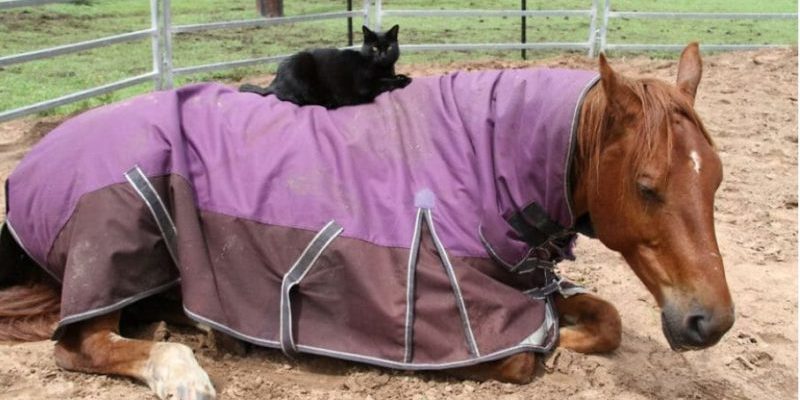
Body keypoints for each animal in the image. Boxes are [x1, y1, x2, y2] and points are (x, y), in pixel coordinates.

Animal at [0, 42, 736, 398]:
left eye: (717, 179)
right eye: (647, 187)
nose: (712, 323)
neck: (485, 156)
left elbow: (605, 321)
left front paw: (573, 328)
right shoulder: (453, 317)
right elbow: (525, 356)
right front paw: (554, 341)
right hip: (115, 238)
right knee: (80, 343)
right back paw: (184, 371)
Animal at [241, 25, 410, 108]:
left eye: (389, 48)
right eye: (374, 48)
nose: (382, 55)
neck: (383, 69)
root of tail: (274, 82)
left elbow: (391, 77)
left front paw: (401, 76)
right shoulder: (365, 85)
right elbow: (384, 82)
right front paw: (404, 80)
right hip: (301, 65)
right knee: (295, 99)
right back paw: (332, 103)